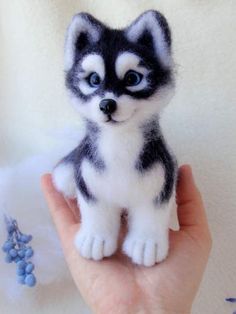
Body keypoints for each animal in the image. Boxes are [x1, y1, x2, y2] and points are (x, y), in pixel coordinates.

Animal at [53, 9, 177, 266]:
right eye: (93, 80)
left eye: (132, 79)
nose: (107, 104)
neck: (118, 143)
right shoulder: (89, 180)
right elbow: (95, 211)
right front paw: (95, 238)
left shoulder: (160, 179)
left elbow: (153, 212)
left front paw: (146, 243)